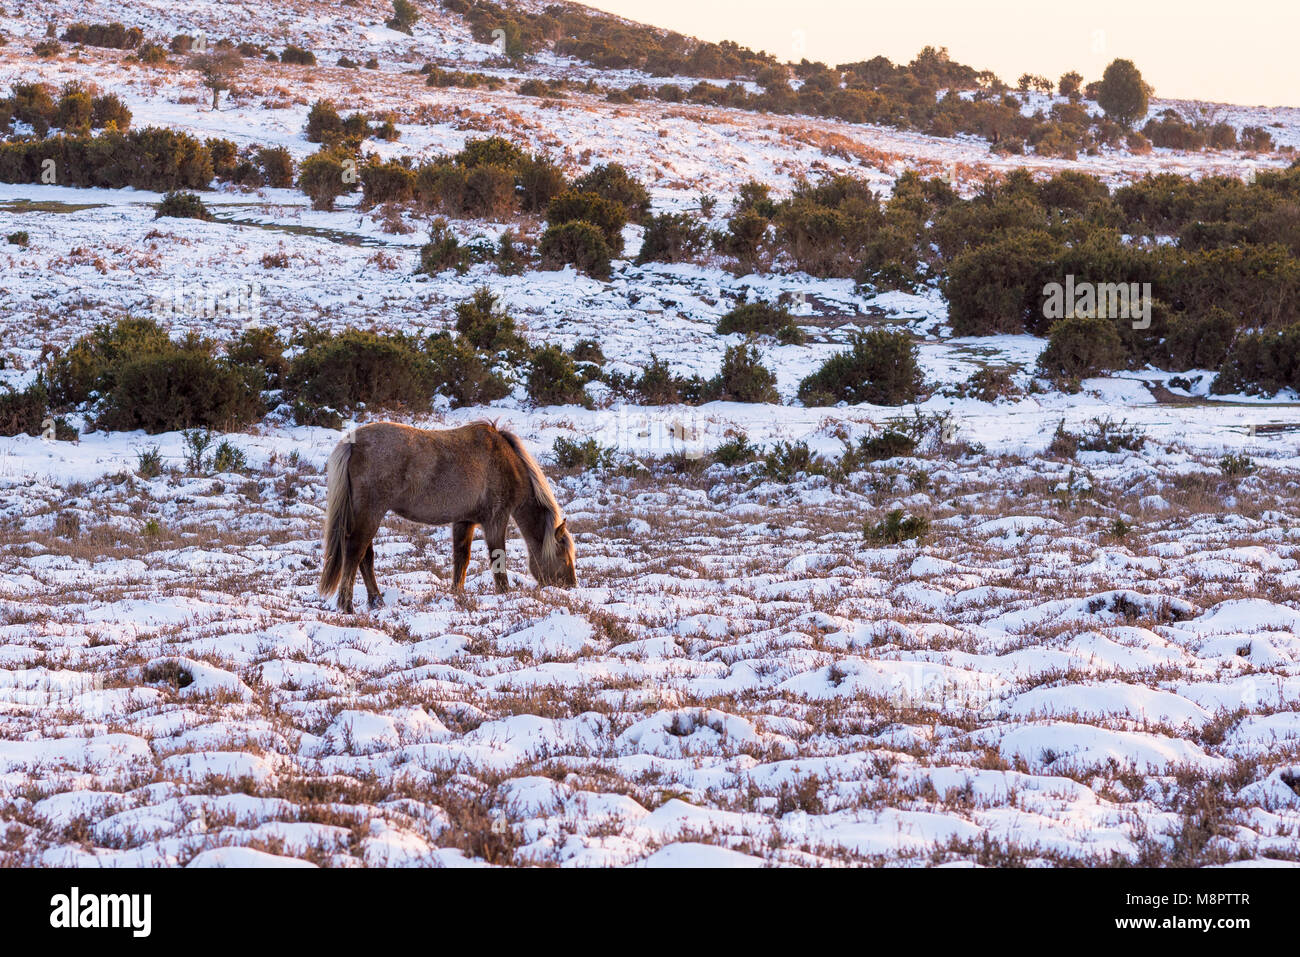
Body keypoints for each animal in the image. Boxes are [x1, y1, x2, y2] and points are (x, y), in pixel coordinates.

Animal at [317, 421, 577, 613]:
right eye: (564, 557)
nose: (571, 587)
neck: (506, 462)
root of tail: (353, 443)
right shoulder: (496, 519)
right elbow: (497, 557)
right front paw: (505, 593)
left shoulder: (464, 521)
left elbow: (461, 558)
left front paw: (456, 593)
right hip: (371, 513)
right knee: (355, 553)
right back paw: (347, 606)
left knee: (365, 558)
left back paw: (376, 601)